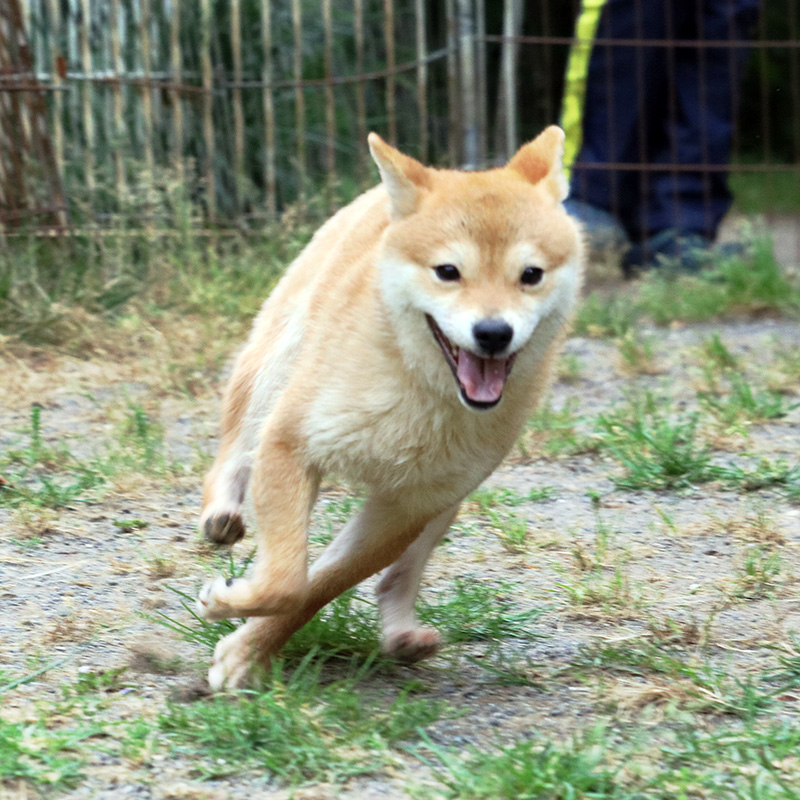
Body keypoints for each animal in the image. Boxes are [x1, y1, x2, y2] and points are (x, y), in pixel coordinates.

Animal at [194, 126, 580, 688]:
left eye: (531, 274)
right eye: (448, 271)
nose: (493, 332)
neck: (418, 385)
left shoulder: (408, 506)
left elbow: (312, 586)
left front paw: (250, 649)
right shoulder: (290, 442)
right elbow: (285, 578)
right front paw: (234, 614)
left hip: (451, 499)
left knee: (398, 576)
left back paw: (401, 631)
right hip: (273, 364)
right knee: (234, 449)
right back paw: (220, 509)